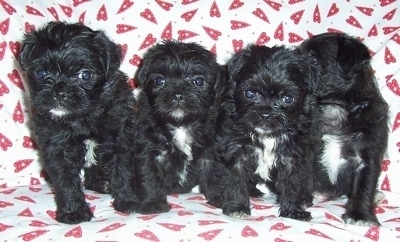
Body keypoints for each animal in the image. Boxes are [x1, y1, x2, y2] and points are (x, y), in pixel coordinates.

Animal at [134, 39, 250, 217]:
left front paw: (219, 198)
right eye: (159, 81)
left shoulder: (209, 154)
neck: (181, 124)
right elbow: (150, 178)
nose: (178, 94)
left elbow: (214, 177)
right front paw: (153, 203)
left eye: (198, 81)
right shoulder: (151, 153)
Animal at [216, 45, 318, 221]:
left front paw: (293, 210)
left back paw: (305, 199)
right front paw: (238, 207)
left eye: (287, 98)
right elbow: (235, 181)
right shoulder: (236, 153)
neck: (267, 136)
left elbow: (292, 184)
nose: (265, 113)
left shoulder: (293, 158)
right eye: (249, 94)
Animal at [298, 32, 390, 227]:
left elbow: (364, 187)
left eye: (313, 60)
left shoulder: (368, 156)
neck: (334, 107)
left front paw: (361, 215)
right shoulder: (306, 149)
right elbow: (302, 176)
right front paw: (299, 199)